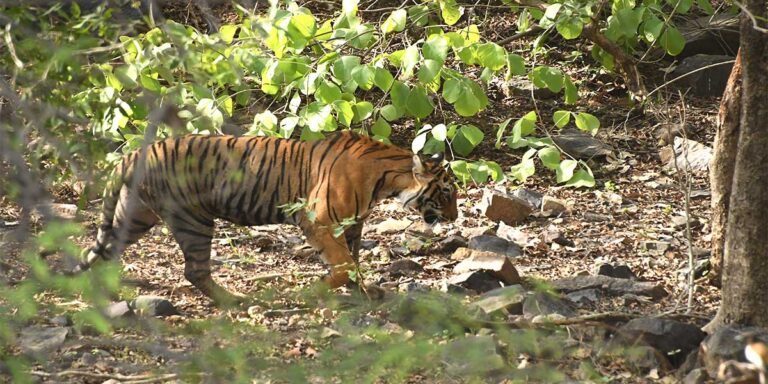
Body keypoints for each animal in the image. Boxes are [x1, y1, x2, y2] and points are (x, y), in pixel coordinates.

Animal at [76, 130, 462, 304]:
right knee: (194, 270)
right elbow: (341, 263)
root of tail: (132, 154)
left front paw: (363, 291)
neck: (385, 179)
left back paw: (102, 294)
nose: (456, 215)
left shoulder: (352, 225)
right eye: (446, 193)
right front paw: (314, 291)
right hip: (193, 219)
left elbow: (353, 260)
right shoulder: (317, 219)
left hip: (134, 215)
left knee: (102, 252)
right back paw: (234, 300)